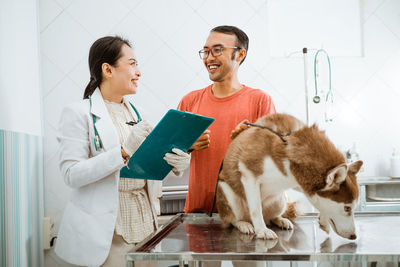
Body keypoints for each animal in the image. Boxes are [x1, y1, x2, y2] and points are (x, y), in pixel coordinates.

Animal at [216, 113, 362, 241]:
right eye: (347, 208)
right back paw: (243, 224)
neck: (286, 145)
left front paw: (324, 221)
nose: (354, 236)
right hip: (227, 193)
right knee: (233, 219)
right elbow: (256, 210)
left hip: (280, 200)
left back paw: (280, 220)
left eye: (354, 207)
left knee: (271, 217)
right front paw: (261, 230)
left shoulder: (298, 182)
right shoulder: (249, 175)